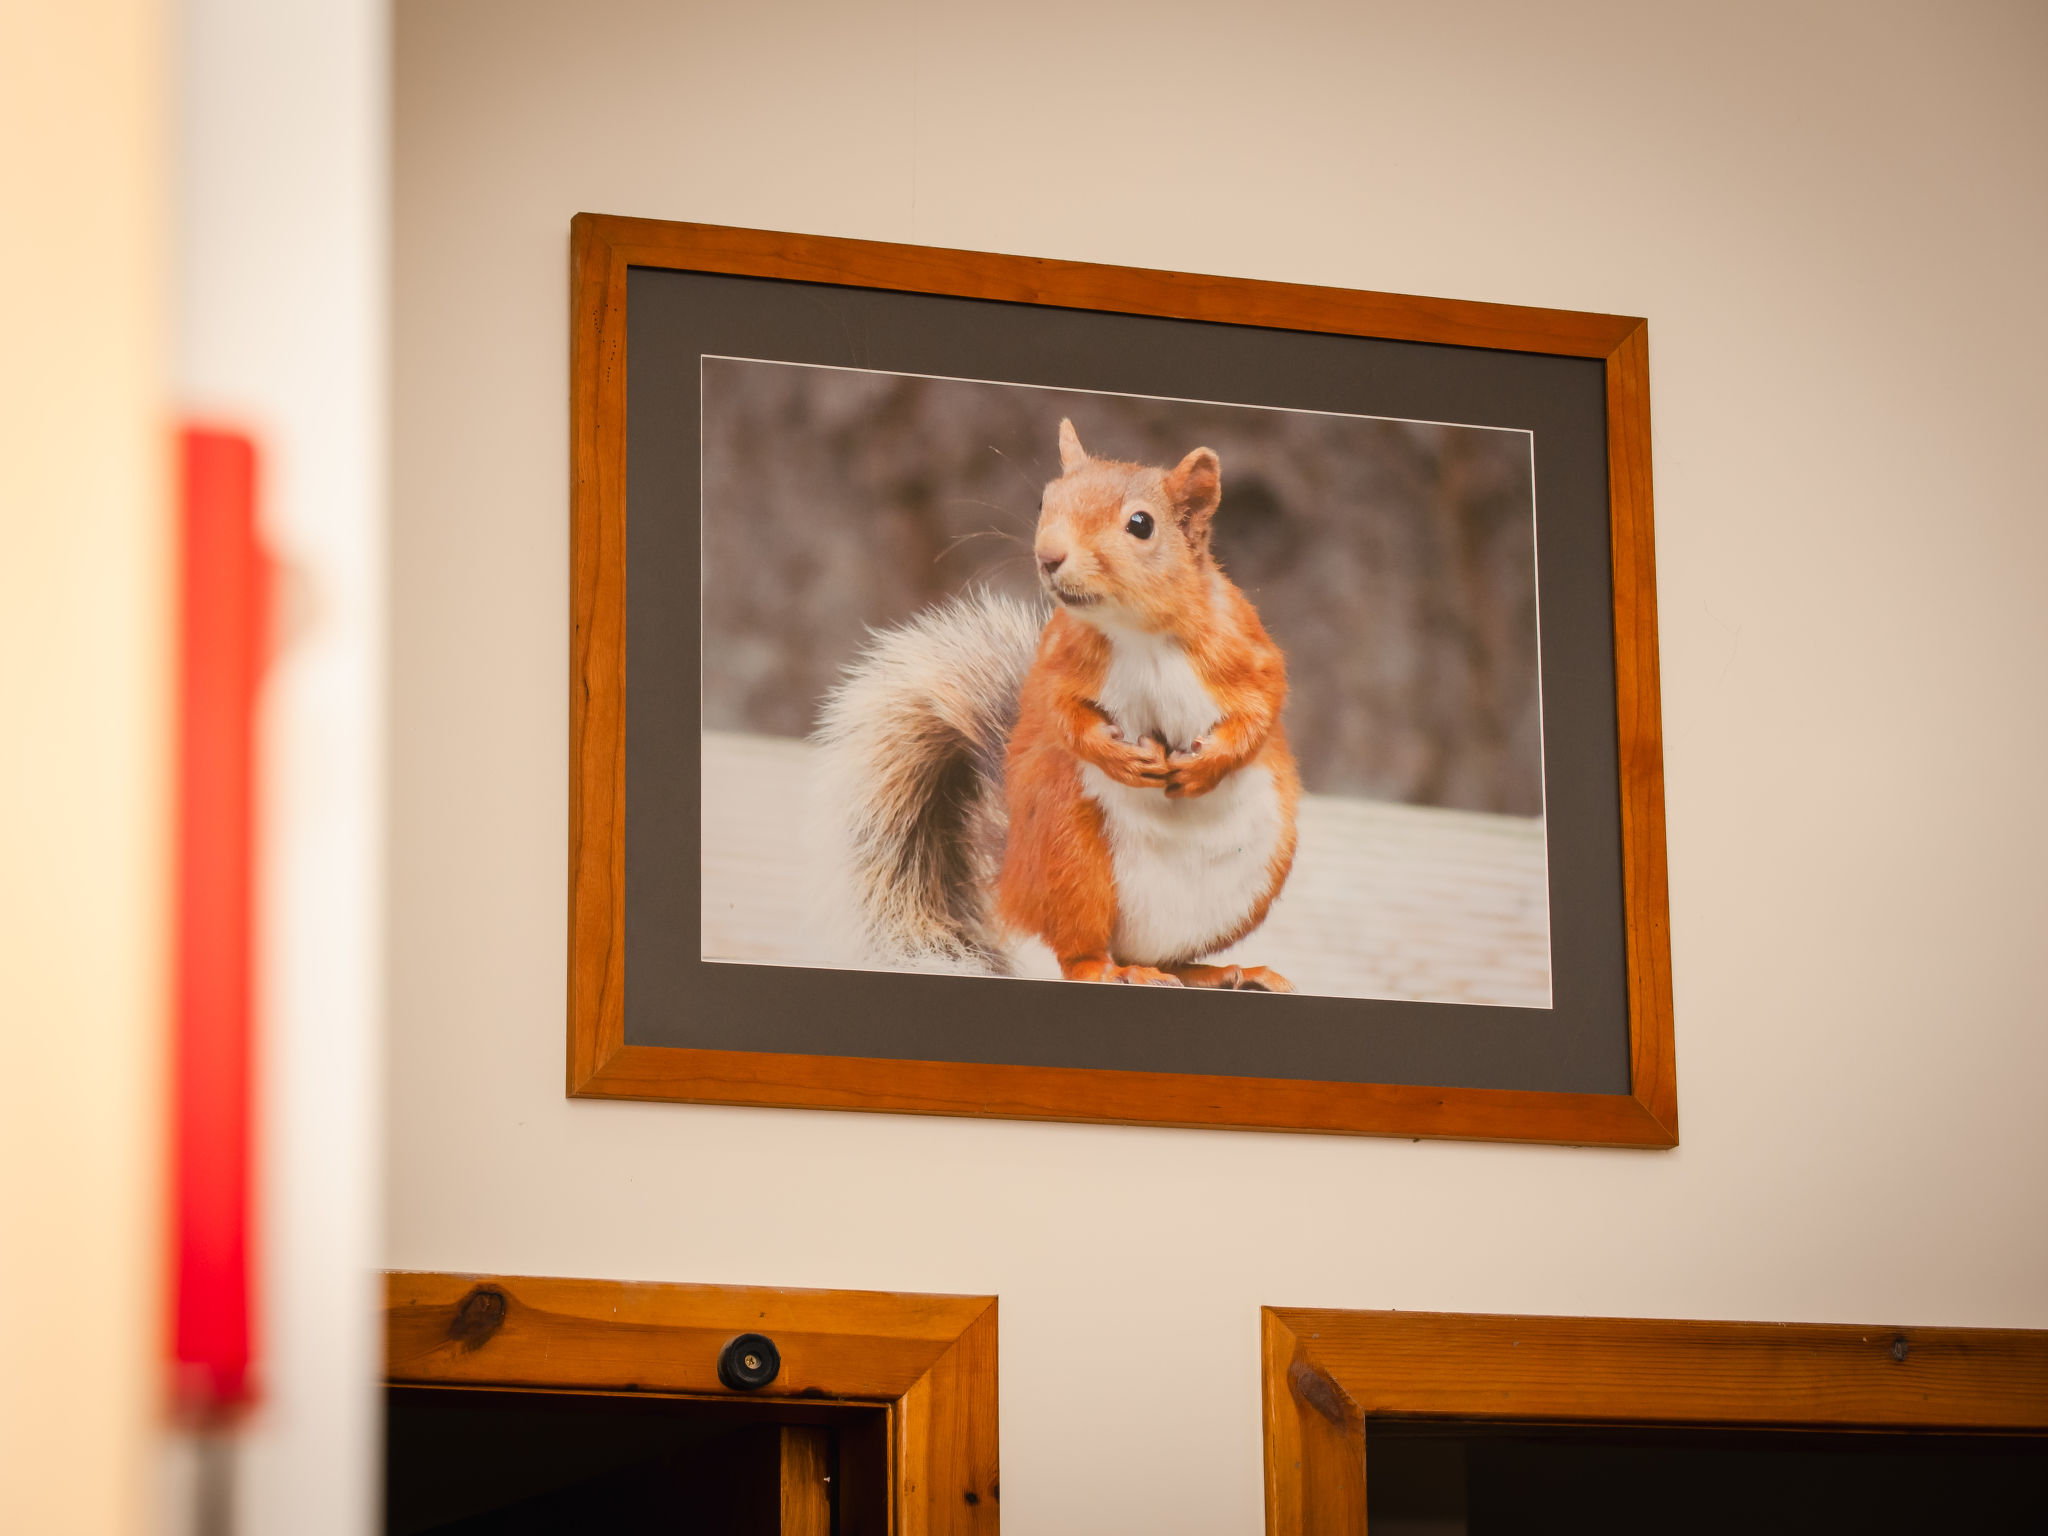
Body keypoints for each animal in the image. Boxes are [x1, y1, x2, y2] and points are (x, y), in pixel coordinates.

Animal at [814, 418, 1299, 990]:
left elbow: (1262, 707)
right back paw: (1115, 971)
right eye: (1046, 500)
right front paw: (1119, 758)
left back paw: (1224, 971)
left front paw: (1205, 765)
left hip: (1250, 883)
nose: (1049, 555)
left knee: (1170, 956)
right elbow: (1061, 717)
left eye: (1141, 524)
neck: (1137, 632)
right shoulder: (1057, 665)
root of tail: (1012, 878)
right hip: (1073, 863)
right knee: (1079, 954)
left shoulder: (1245, 647)